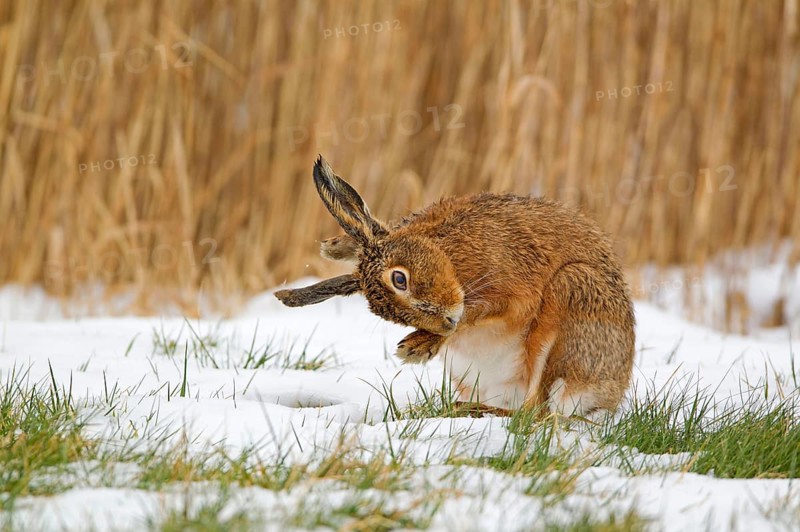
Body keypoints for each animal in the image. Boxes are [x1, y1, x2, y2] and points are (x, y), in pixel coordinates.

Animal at [275, 156, 635, 415]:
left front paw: (416, 347)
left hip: (572, 295)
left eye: (400, 279)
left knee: (536, 413)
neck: (445, 253)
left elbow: (478, 311)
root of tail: (609, 395)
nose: (444, 323)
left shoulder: (509, 291)